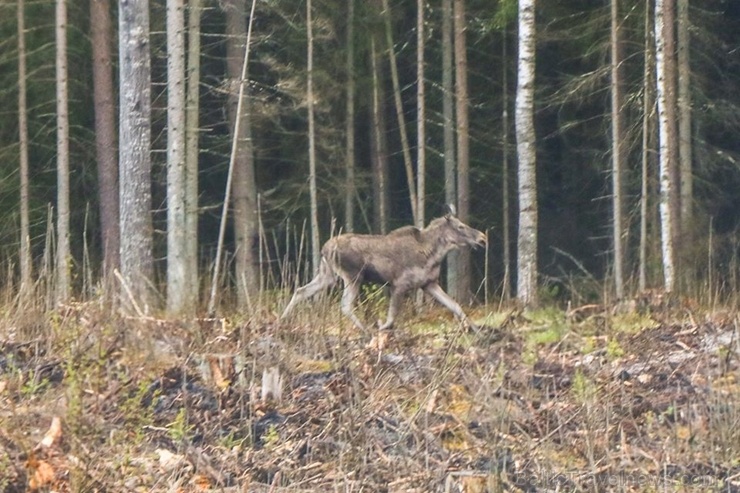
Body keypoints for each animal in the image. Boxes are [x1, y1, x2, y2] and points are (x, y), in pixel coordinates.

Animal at [280, 208, 488, 330]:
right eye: (460, 226)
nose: (482, 238)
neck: (433, 255)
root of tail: (324, 249)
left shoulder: (429, 284)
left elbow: (456, 306)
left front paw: (475, 329)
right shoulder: (399, 284)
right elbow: (391, 317)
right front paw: (380, 326)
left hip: (327, 275)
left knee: (301, 290)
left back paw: (282, 319)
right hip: (353, 276)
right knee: (345, 304)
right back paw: (365, 329)